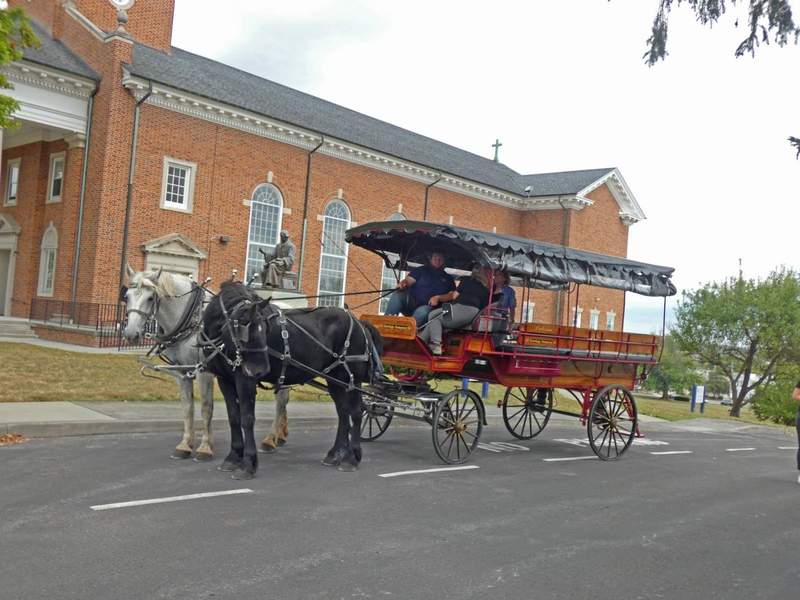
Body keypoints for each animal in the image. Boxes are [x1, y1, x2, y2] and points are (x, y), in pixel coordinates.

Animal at [200, 281, 382, 479]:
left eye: (266, 329)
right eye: (244, 329)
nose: (261, 370)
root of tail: (358, 322)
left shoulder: (244, 379)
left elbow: (247, 419)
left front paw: (248, 464)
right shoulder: (224, 379)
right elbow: (234, 417)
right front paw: (233, 457)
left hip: (352, 378)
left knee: (356, 413)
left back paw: (352, 458)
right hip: (335, 379)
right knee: (343, 412)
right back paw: (335, 454)